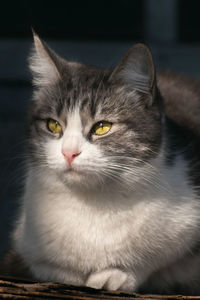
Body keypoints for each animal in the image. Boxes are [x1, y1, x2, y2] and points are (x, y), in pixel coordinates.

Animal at [1, 33, 200, 296]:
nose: (68, 152)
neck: (94, 203)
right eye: (53, 125)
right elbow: (48, 266)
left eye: (102, 127)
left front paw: (116, 274)